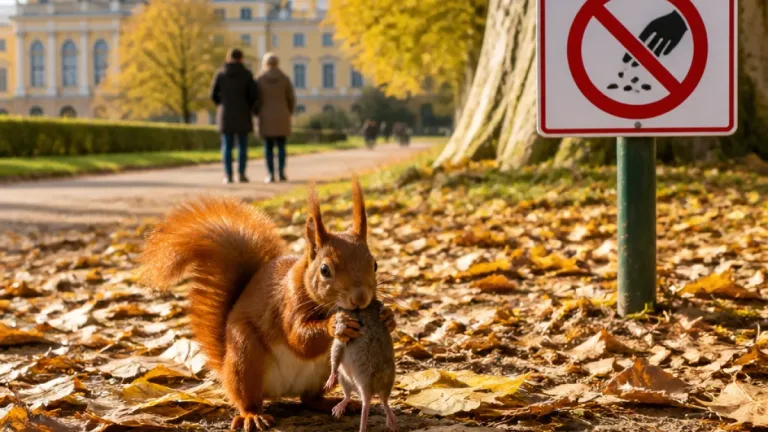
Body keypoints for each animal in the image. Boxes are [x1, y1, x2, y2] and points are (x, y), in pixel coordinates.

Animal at [324, 298, 397, 432]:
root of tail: (368, 392)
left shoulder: (338, 344)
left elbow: (334, 361)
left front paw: (329, 382)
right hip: (345, 380)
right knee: (379, 400)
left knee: (374, 401)